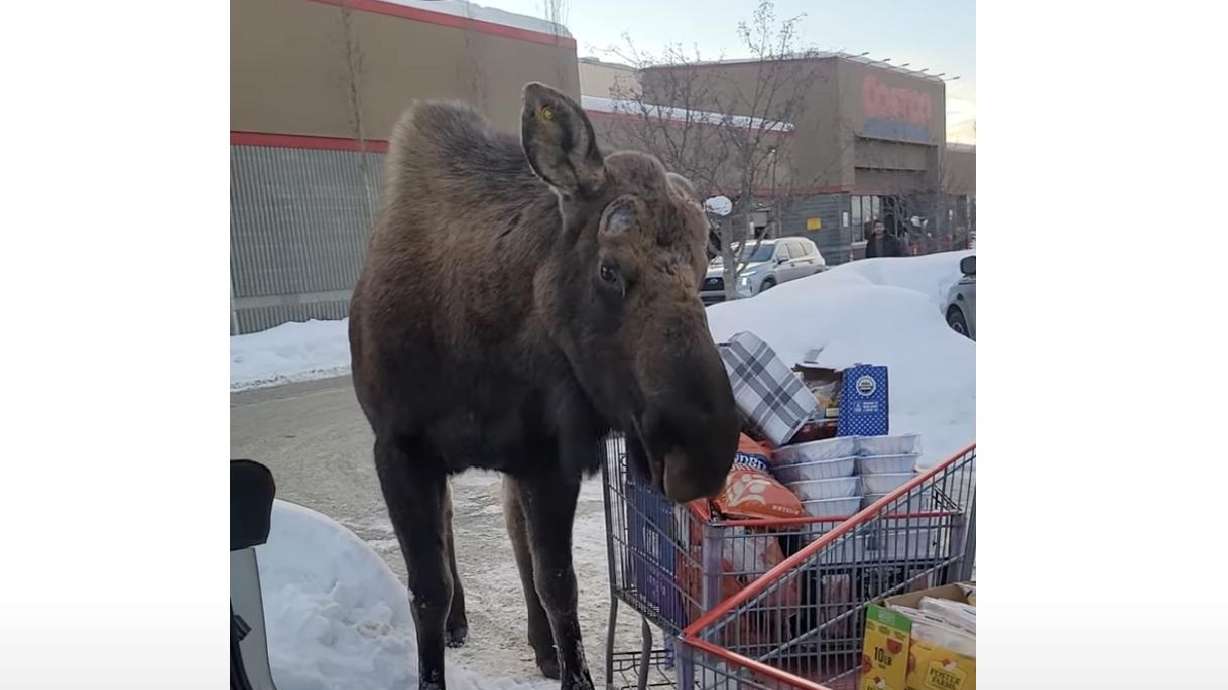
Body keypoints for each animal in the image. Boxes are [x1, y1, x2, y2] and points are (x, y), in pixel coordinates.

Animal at [348, 82, 739, 690]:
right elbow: (426, 593)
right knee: (453, 530)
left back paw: (542, 646)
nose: (703, 454)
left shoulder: (544, 456)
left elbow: (558, 584)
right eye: (608, 269)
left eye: (703, 270)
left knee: (515, 539)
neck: (479, 343)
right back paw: (462, 620)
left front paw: (571, 666)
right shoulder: (398, 448)